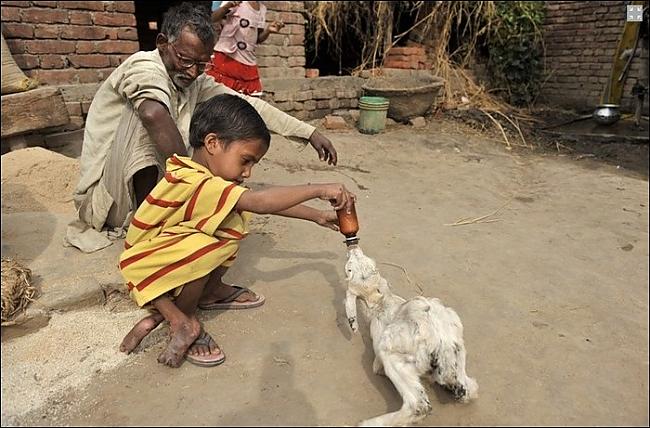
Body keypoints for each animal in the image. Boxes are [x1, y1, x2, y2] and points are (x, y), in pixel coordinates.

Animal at [344, 246, 476, 426]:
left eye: (349, 268)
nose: (354, 248)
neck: (382, 302)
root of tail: (443, 342)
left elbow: (377, 367)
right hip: (459, 351)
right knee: (469, 389)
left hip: (394, 355)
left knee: (420, 405)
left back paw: (369, 423)